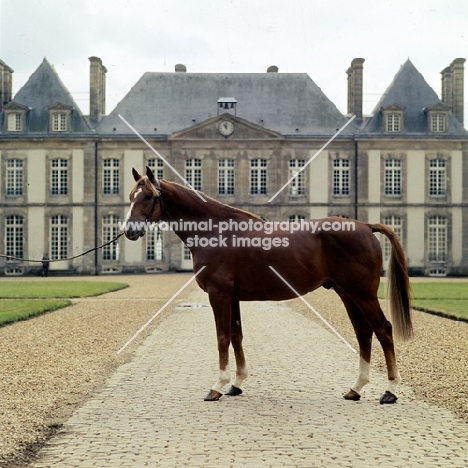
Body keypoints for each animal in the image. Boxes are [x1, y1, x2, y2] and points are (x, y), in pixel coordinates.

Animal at [122, 166, 412, 404]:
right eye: (131, 196)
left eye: (147, 196)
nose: (128, 230)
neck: (217, 231)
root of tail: (365, 226)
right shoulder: (233, 297)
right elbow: (236, 335)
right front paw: (237, 383)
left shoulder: (219, 295)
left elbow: (222, 337)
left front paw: (217, 386)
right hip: (348, 294)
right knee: (364, 333)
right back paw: (356, 388)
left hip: (362, 295)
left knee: (383, 330)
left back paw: (390, 390)